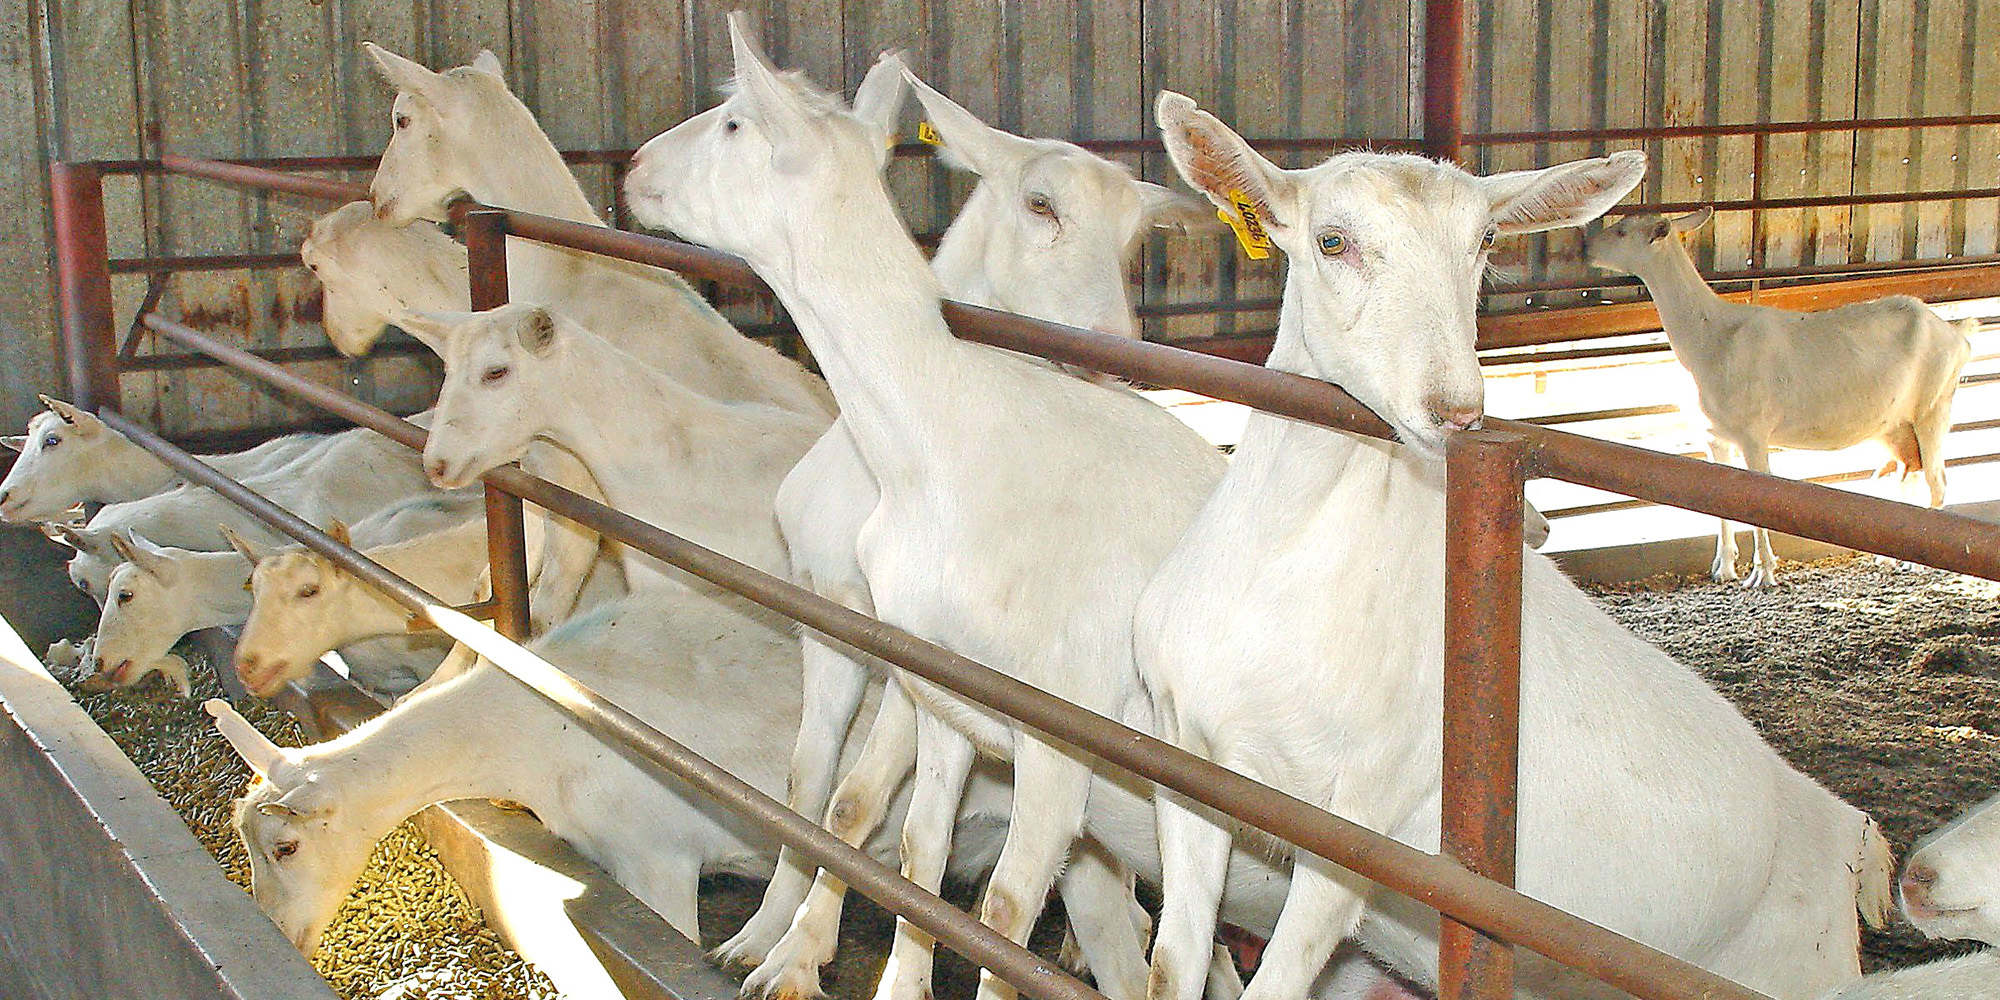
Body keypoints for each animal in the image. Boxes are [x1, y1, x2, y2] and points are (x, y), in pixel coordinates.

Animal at [1586, 208, 1973, 586]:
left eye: (1621, 230)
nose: (1586, 247)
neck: (1709, 338)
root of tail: (1958, 336)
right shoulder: (1713, 436)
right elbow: (1717, 502)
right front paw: (1724, 569)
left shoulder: (1754, 432)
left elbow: (1755, 504)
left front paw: (1762, 573)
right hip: (1894, 425)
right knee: (1909, 470)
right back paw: (1891, 557)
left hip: (1934, 408)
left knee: (1937, 480)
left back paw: (1919, 565)